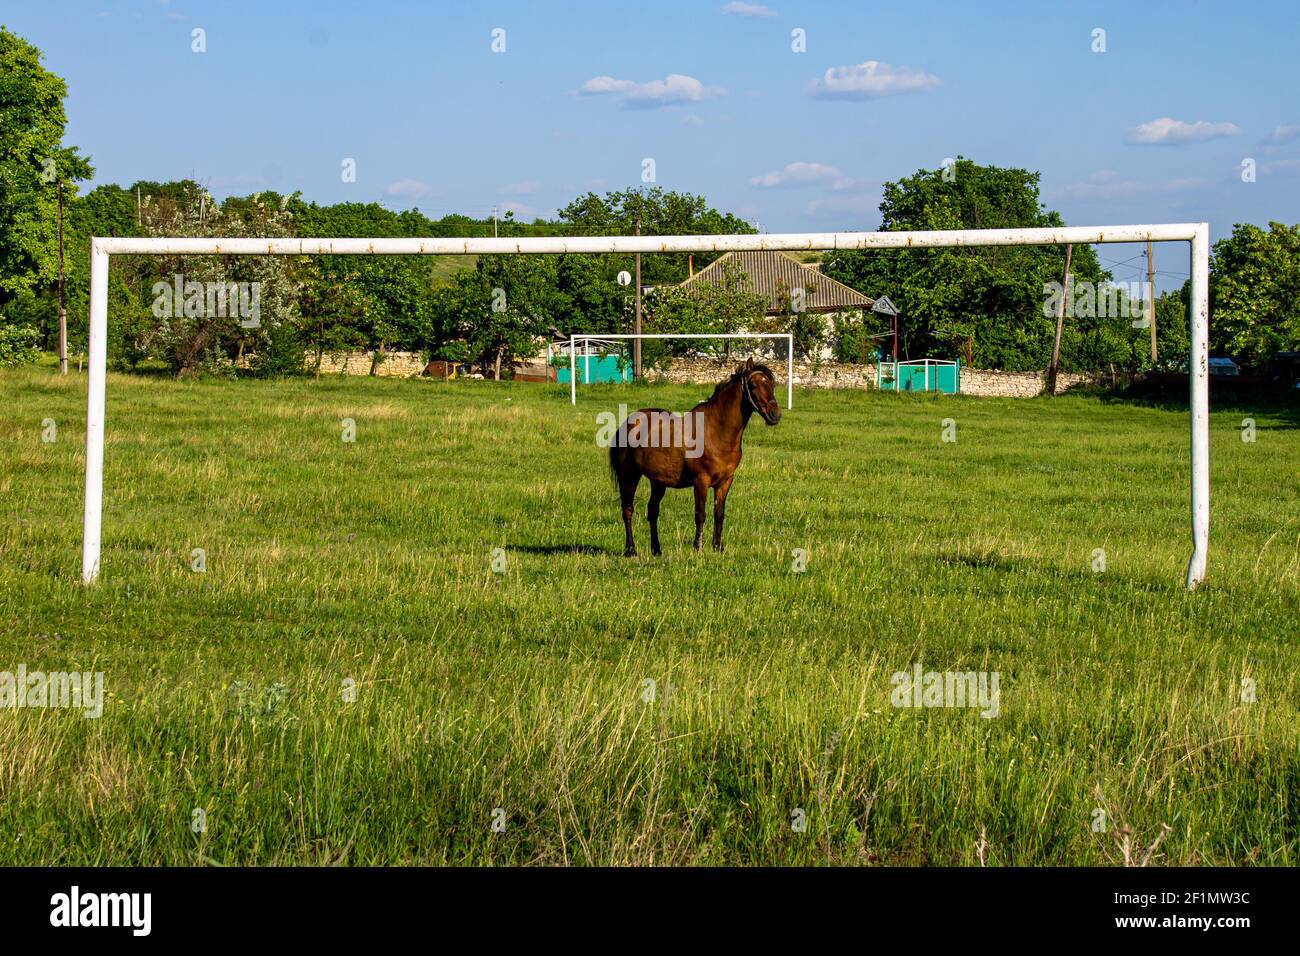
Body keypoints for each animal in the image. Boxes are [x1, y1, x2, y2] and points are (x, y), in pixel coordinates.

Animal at [608, 356, 780, 554]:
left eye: (771, 385)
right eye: (753, 385)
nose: (775, 415)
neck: (716, 431)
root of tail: (627, 423)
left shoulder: (725, 481)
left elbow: (719, 514)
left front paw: (718, 547)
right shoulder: (701, 480)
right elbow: (700, 514)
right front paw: (698, 547)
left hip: (658, 481)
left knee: (652, 511)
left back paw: (656, 549)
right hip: (629, 475)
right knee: (627, 509)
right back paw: (631, 549)